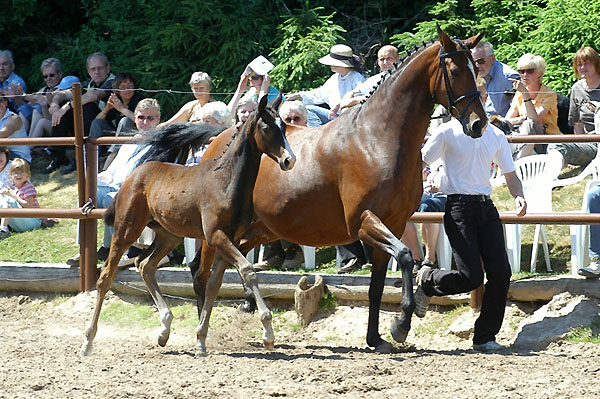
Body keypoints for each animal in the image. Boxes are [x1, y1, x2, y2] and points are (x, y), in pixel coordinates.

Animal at [79, 95, 296, 358]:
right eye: (266, 128)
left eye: (284, 126)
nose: (289, 160)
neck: (226, 181)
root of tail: (133, 176)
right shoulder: (216, 236)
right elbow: (247, 270)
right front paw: (268, 332)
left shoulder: (230, 238)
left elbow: (213, 283)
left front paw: (201, 340)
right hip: (126, 229)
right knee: (106, 276)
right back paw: (88, 341)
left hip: (169, 236)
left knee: (144, 265)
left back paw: (164, 330)